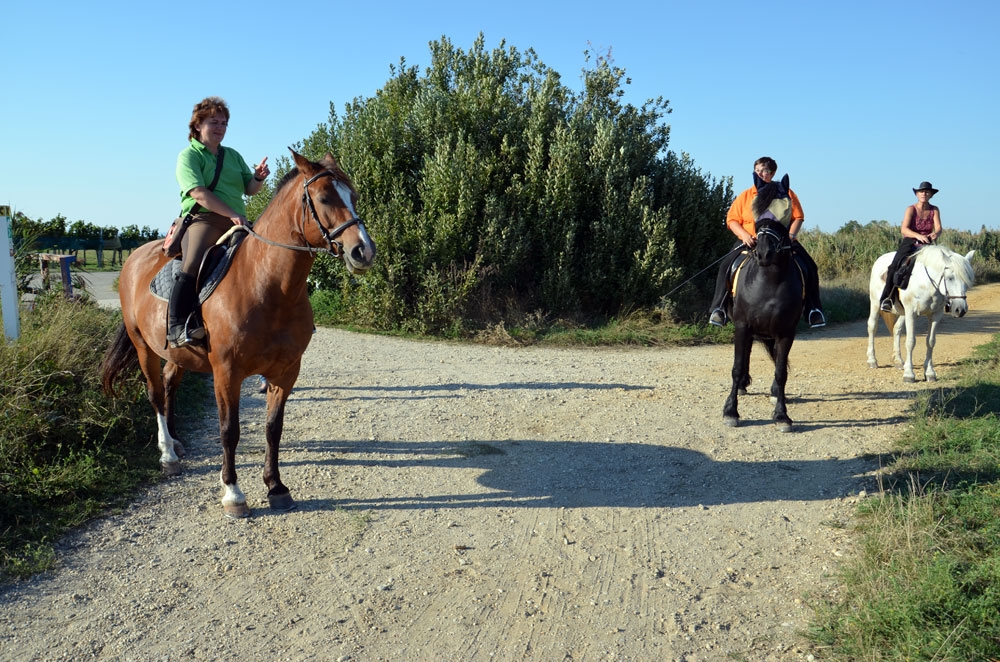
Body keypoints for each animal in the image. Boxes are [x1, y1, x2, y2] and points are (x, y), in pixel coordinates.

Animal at [101, 150, 376, 520]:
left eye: (354, 196)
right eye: (323, 198)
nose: (364, 251)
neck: (265, 284)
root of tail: (133, 260)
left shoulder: (286, 372)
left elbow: (273, 429)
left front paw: (276, 487)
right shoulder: (227, 372)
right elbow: (229, 430)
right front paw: (233, 492)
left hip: (178, 354)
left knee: (170, 385)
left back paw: (175, 440)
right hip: (143, 345)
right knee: (156, 394)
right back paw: (168, 455)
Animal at [724, 176, 800, 436]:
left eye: (786, 211)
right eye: (756, 211)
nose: (764, 253)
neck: (769, 280)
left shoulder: (786, 333)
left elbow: (781, 371)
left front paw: (782, 416)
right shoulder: (742, 325)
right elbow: (737, 366)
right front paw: (731, 412)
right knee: (745, 352)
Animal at [864, 246, 972, 384]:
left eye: (966, 280)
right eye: (950, 278)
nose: (960, 309)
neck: (927, 284)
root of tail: (880, 259)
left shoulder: (935, 315)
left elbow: (930, 341)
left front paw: (930, 373)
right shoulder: (911, 313)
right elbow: (910, 342)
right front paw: (909, 375)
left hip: (902, 312)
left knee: (897, 329)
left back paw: (898, 361)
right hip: (875, 304)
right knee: (872, 327)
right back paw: (872, 360)